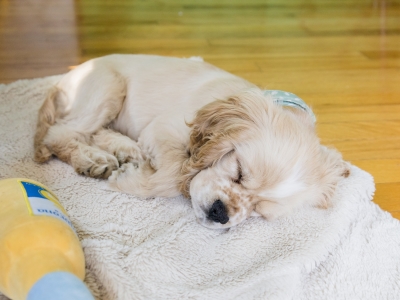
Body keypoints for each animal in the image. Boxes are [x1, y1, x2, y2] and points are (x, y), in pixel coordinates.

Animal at [32, 54, 348, 229]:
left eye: (260, 211)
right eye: (239, 172)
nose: (221, 213)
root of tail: (63, 78)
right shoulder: (162, 128)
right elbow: (173, 176)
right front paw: (129, 179)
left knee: (92, 131)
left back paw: (125, 150)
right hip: (110, 86)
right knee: (61, 133)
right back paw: (92, 160)